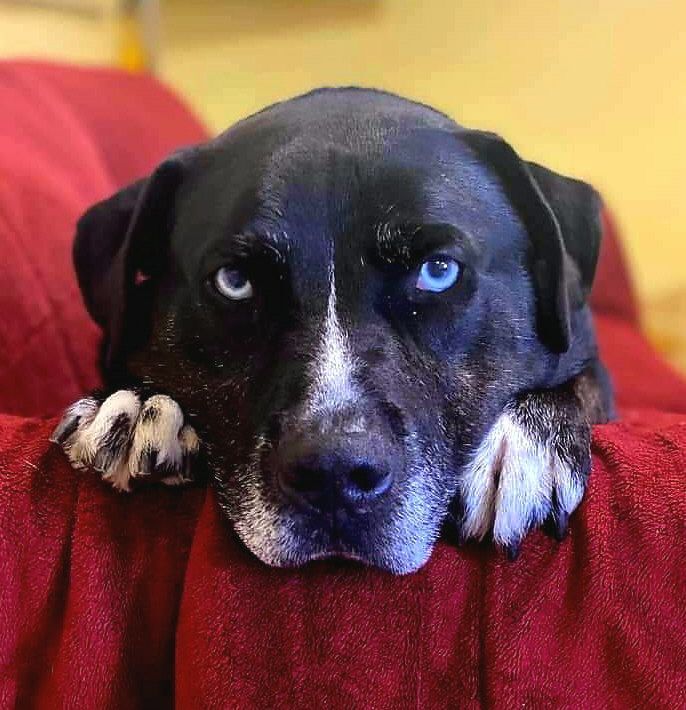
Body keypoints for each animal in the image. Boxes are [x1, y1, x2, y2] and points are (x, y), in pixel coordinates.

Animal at [51, 89, 616, 576]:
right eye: (235, 281)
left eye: (438, 270)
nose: (334, 475)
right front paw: (134, 402)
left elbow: (581, 384)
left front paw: (522, 441)